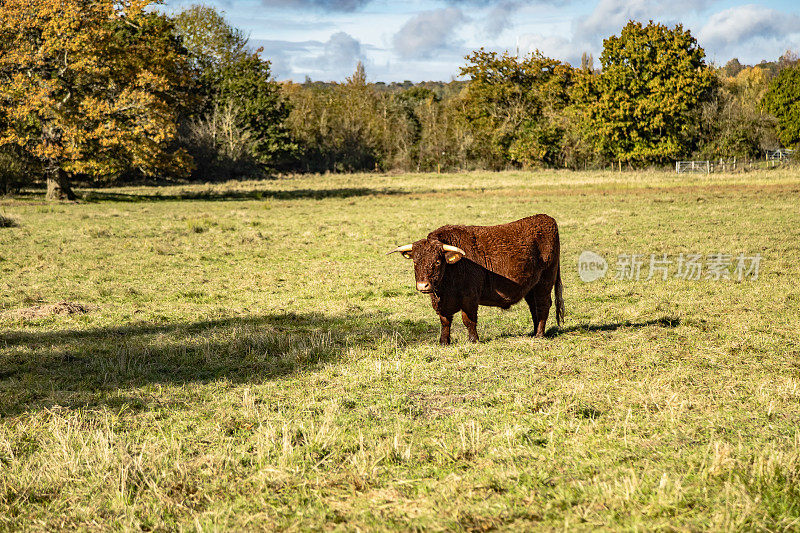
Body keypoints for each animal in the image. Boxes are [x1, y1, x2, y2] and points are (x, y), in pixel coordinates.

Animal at [388, 215, 564, 344]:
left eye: (437, 261)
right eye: (415, 262)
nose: (423, 285)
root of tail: (546, 219)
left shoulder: (470, 297)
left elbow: (469, 320)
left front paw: (473, 340)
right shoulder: (441, 303)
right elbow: (445, 321)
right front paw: (444, 342)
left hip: (545, 281)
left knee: (543, 306)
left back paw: (539, 334)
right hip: (530, 287)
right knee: (534, 307)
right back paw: (534, 332)